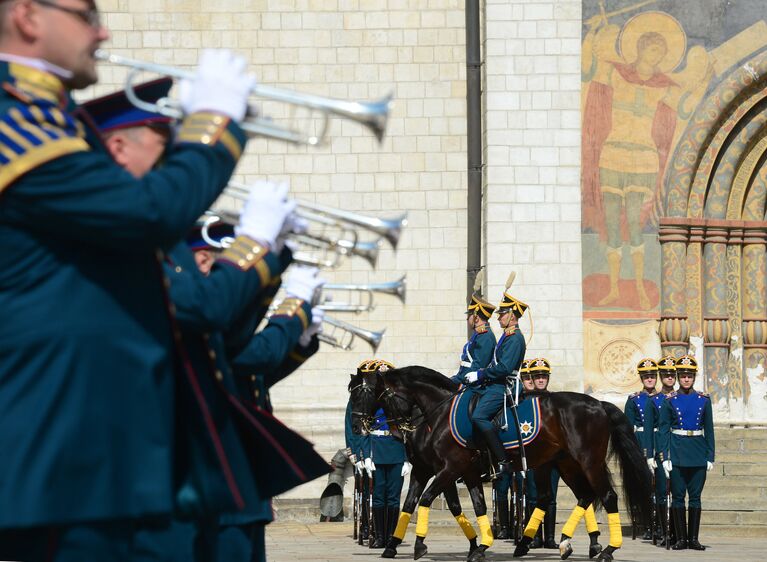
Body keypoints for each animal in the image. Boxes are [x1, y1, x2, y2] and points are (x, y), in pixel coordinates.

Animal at [352, 366, 652, 556]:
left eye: (366, 395)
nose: (356, 427)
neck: (435, 415)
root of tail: (598, 403)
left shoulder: (449, 469)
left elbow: (426, 501)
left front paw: (419, 545)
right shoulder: (440, 471)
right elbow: (426, 504)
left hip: (587, 462)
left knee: (607, 496)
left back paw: (607, 549)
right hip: (564, 464)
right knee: (581, 496)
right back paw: (561, 543)